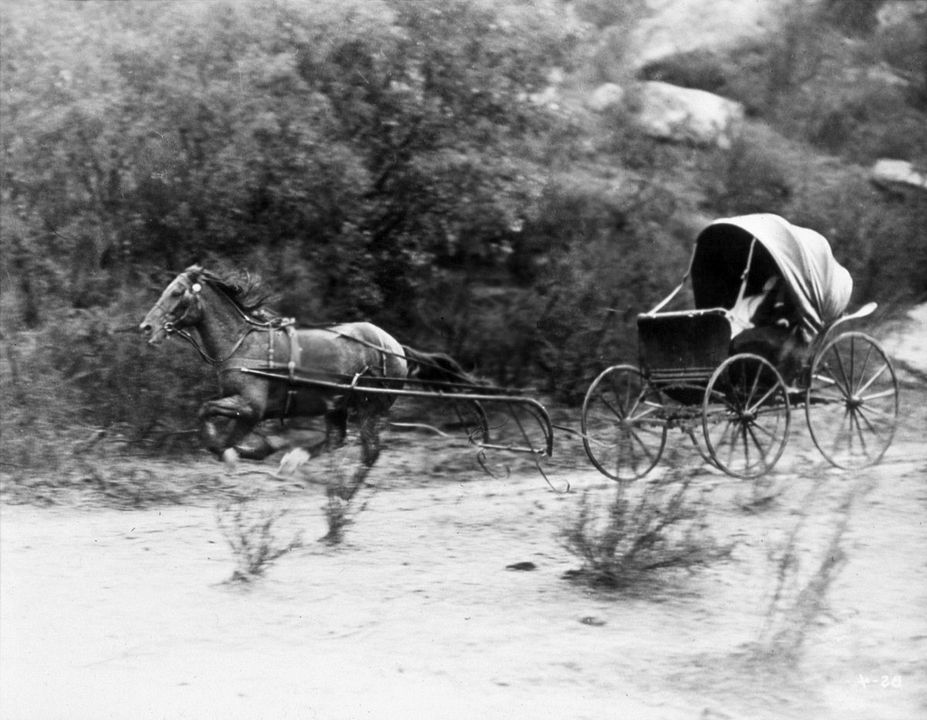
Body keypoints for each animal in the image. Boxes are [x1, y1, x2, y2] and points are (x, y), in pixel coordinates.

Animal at [141, 266, 474, 500]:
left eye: (177, 292)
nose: (146, 326)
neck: (242, 345)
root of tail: (395, 347)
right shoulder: (245, 407)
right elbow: (220, 426)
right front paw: (257, 449)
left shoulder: (251, 407)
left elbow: (210, 421)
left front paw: (232, 454)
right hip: (337, 405)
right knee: (336, 440)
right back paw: (295, 462)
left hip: (370, 406)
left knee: (370, 451)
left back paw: (342, 493)